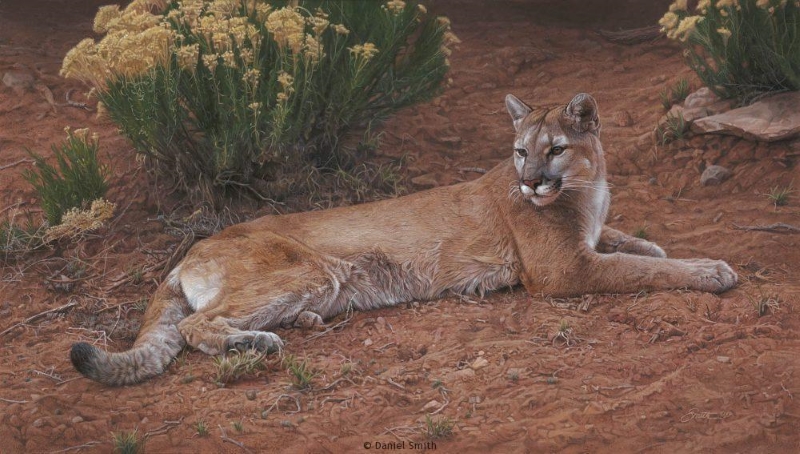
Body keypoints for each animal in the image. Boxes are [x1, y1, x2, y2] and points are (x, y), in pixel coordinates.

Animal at [70, 94, 736, 384]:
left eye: (553, 149)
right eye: (521, 151)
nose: (528, 181)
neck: (586, 186)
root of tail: (192, 249)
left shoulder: (587, 240)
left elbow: (632, 244)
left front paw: (653, 244)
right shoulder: (564, 272)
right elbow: (645, 270)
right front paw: (712, 270)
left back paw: (297, 324)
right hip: (304, 270)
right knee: (191, 325)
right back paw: (255, 344)